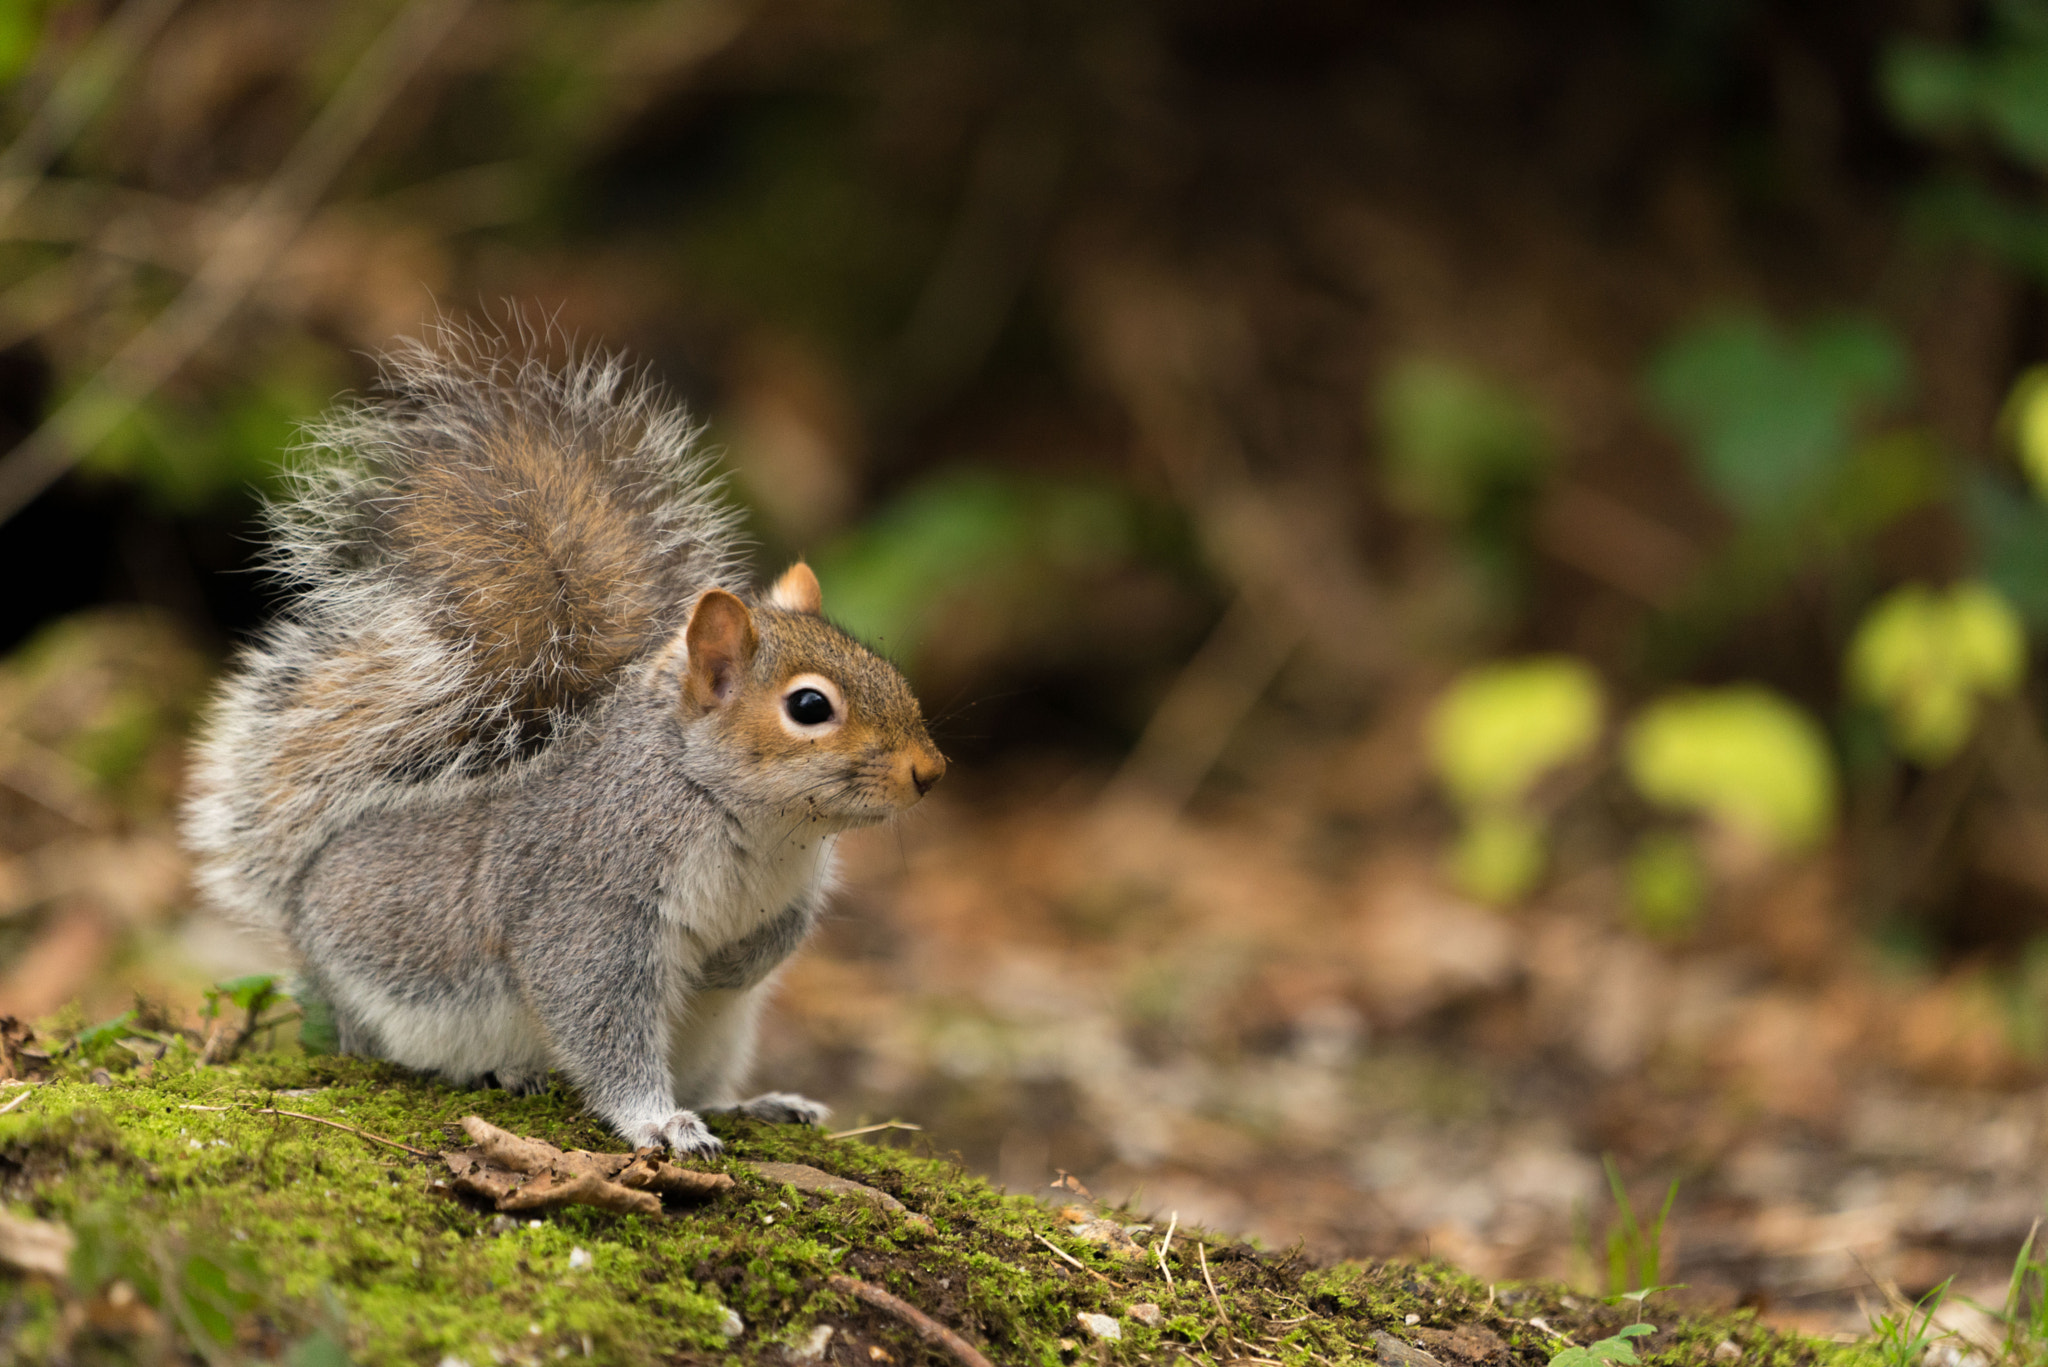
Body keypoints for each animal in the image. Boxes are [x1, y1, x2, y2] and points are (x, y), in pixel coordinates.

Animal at [180, 327, 946, 1155]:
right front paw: (659, 1120)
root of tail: (301, 904)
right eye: (809, 706)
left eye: (887, 668)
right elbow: (598, 1014)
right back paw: (514, 1073)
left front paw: (734, 964)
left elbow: (780, 938)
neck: (760, 827)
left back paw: (760, 1103)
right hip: (388, 1013)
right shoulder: (590, 900)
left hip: (719, 1038)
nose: (931, 771)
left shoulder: (797, 889)